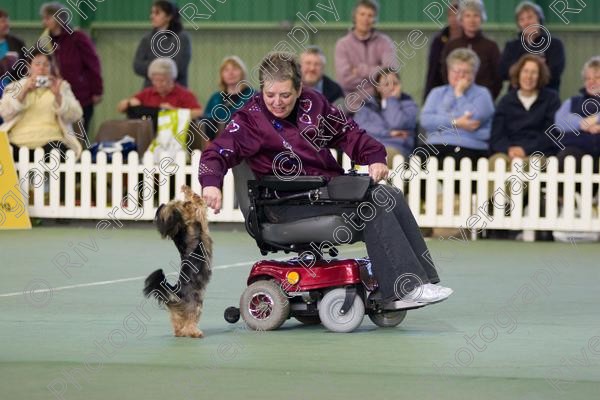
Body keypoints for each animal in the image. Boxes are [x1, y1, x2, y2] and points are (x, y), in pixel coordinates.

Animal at [144, 185, 213, 338]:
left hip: (177, 311)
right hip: (196, 303)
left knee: (178, 323)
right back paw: (195, 332)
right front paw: (189, 193)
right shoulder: (199, 214)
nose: (164, 203)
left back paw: (180, 332)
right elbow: (198, 203)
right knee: (190, 321)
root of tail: (176, 291)